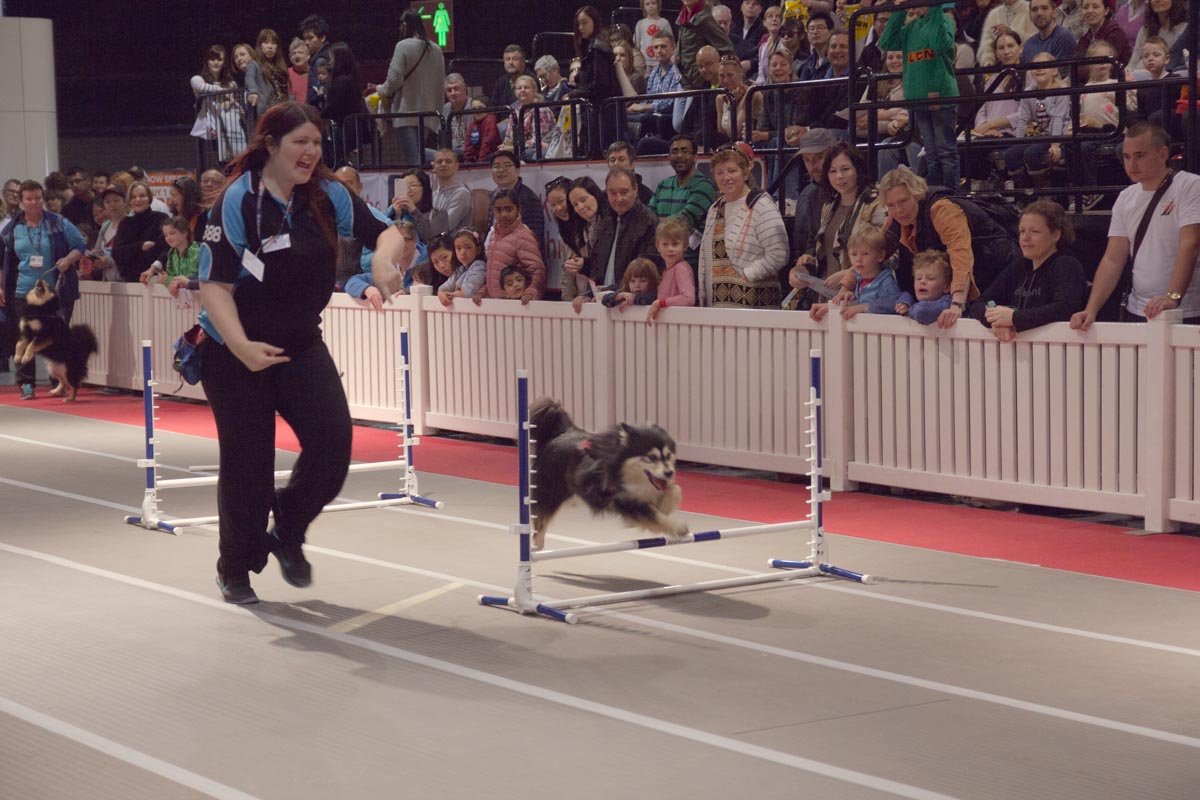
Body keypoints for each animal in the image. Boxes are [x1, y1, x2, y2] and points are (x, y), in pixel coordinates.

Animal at [532, 398, 691, 551]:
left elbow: (675, 491)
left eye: (668, 456)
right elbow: (654, 514)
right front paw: (677, 526)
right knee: (540, 517)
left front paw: (665, 506)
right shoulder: (625, 500)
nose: (669, 472)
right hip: (552, 493)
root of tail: (560, 434)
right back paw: (536, 544)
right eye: (651, 457)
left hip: (570, 496)